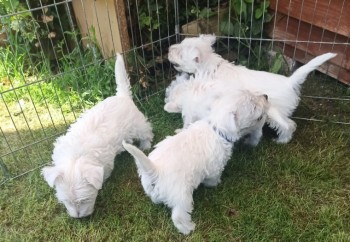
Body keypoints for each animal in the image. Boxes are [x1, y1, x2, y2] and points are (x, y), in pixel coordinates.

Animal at [41, 54, 153, 218]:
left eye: (85, 199)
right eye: (65, 201)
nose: (79, 217)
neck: (76, 157)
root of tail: (122, 96)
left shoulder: (105, 162)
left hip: (137, 125)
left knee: (147, 131)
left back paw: (145, 145)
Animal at [122, 91, 268, 234]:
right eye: (254, 107)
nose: (266, 96)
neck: (216, 128)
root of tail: (155, 170)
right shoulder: (215, 168)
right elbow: (213, 178)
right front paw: (215, 184)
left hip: (150, 187)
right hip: (181, 197)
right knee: (179, 216)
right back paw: (188, 228)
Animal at [168, 34, 338, 144]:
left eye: (180, 53)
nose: (169, 48)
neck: (211, 66)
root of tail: (290, 82)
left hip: (274, 111)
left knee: (288, 125)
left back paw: (281, 141)